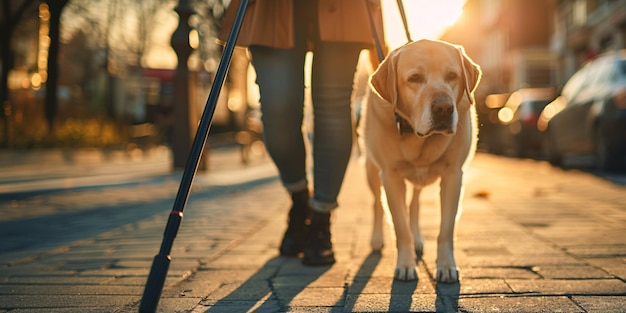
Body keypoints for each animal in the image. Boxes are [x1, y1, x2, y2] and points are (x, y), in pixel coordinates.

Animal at [360, 38, 478, 280]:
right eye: (414, 78)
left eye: (452, 75)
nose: (444, 108)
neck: (416, 135)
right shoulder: (390, 177)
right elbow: (400, 227)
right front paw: (405, 265)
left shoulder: (454, 175)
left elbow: (446, 229)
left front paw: (446, 266)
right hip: (371, 170)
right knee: (377, 203)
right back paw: (377, 239)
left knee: (414, 204)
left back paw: (417, 239)